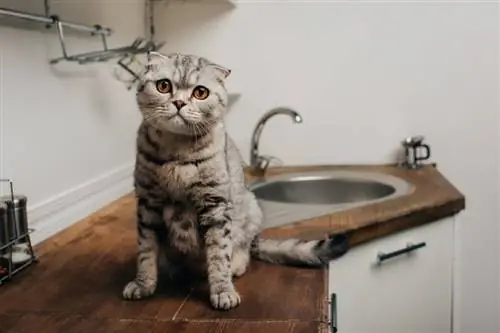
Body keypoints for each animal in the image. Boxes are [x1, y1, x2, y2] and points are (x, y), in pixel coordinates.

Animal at [122, 51, 348, 308]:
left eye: (200, 92)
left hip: (251, 209)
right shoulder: (148, 203)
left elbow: (219, 254)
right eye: (163, 86)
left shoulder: (215, 205)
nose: (179, 103)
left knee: (243, 251)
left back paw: (233, 266)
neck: (176, 154)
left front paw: (222, 290)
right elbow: (146, 250)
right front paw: (143, 283)